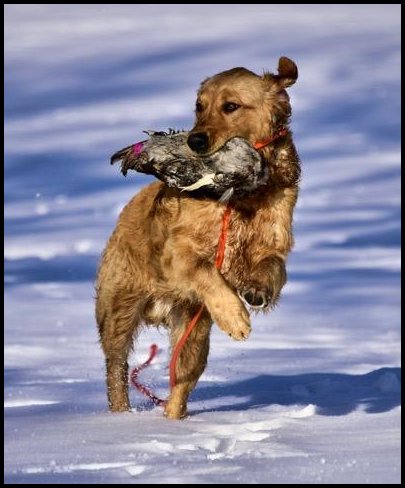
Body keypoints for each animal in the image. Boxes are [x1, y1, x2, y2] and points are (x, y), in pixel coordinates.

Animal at [95, 55, 300, 418]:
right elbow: (207, 272)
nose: (195, 141)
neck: (244, 194)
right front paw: (235, 317)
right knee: (116, 370)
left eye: (231, 106)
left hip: (193, 334)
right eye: (199, 106)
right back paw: (121, 417)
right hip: (118, 311)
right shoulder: (178, 252)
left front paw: (257, 291)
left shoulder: (274, 244)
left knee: (179, 384)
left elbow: (274, 268)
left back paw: (174, 422)